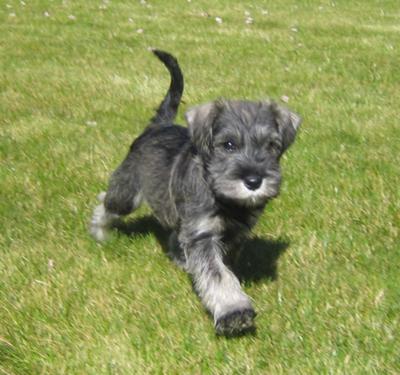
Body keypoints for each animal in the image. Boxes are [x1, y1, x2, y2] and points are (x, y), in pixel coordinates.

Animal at [90, 50, 302, 338]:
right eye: (228, 144)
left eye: (272, 146)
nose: (253, 180)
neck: (225, 199)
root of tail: (158, 126)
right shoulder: (203, 235)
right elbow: (218, 274)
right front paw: (234, 311)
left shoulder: (232, 236)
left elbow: (223, 268)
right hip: (127, 192)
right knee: (106, 201)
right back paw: (100, 232)